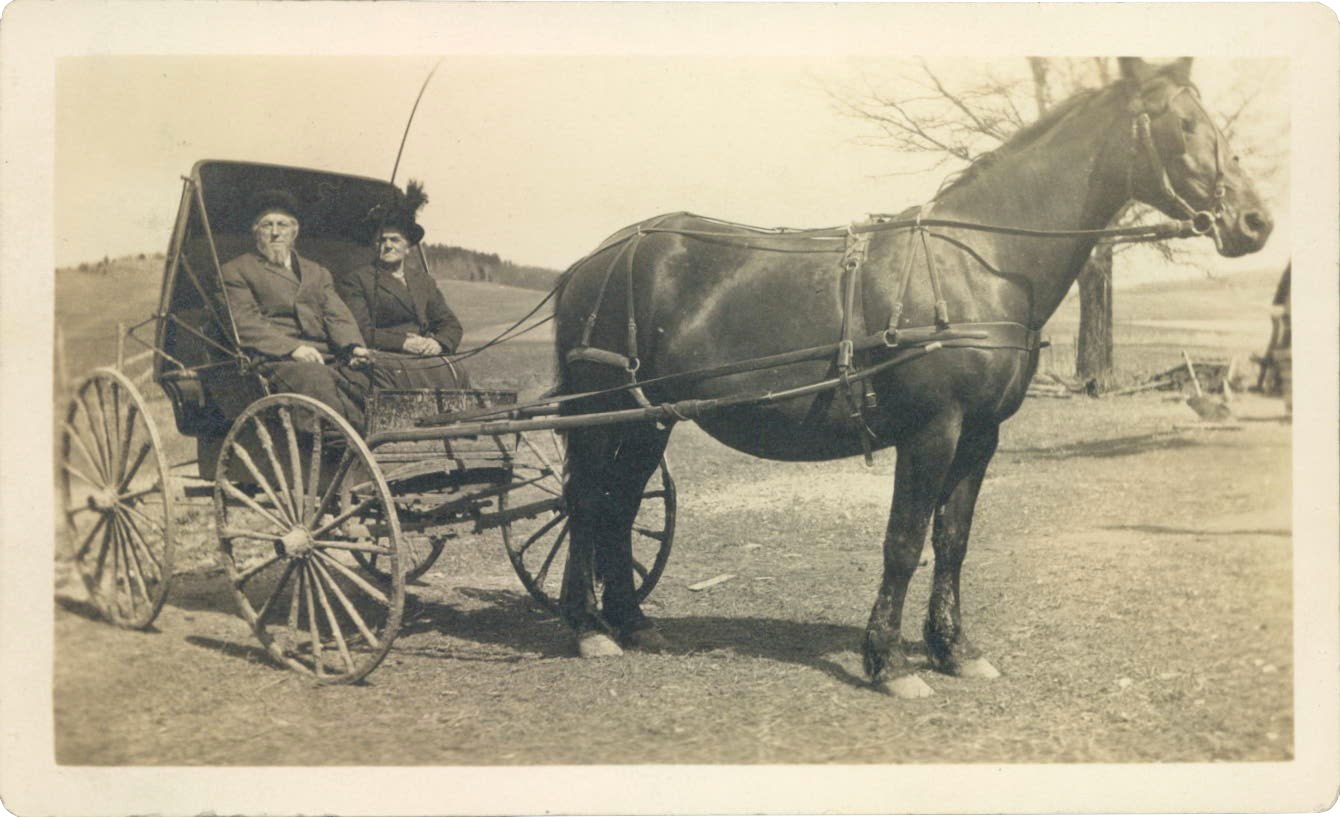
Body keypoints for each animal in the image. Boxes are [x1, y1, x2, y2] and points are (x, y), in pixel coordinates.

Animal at [549, 57, 1274, 697]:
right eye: (1184, 123)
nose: (1256, 221)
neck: (981, 261)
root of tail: (596, 258)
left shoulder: (980, 435)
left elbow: (952, 540)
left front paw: (955, 650)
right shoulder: (932, 431)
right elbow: (905, 540)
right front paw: (890, 663)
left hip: (649, 420)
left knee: (618, 504)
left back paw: (633, 622)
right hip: (603, 416)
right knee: (586, 502)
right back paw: (589, 628)